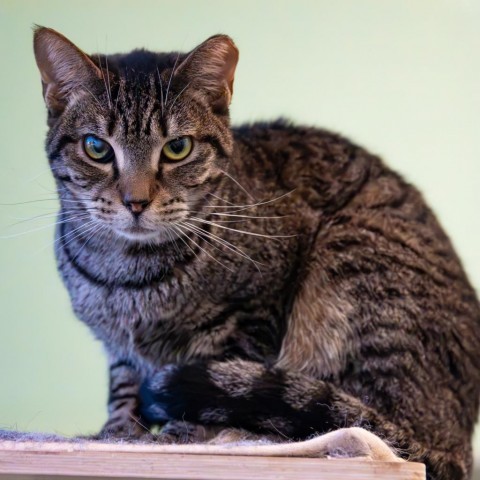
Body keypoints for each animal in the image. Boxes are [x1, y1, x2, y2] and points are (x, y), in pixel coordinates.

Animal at [32, 27, 480, 480]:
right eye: (97, 148)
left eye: (177, 147)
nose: (135, 202)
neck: (128, 274)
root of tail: (457, 443)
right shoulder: (118, 347)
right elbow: (123, 388)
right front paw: (118, 434)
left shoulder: (250, 318)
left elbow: (217, 378)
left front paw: (180, 434)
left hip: (350, 263)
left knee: (363, 421)